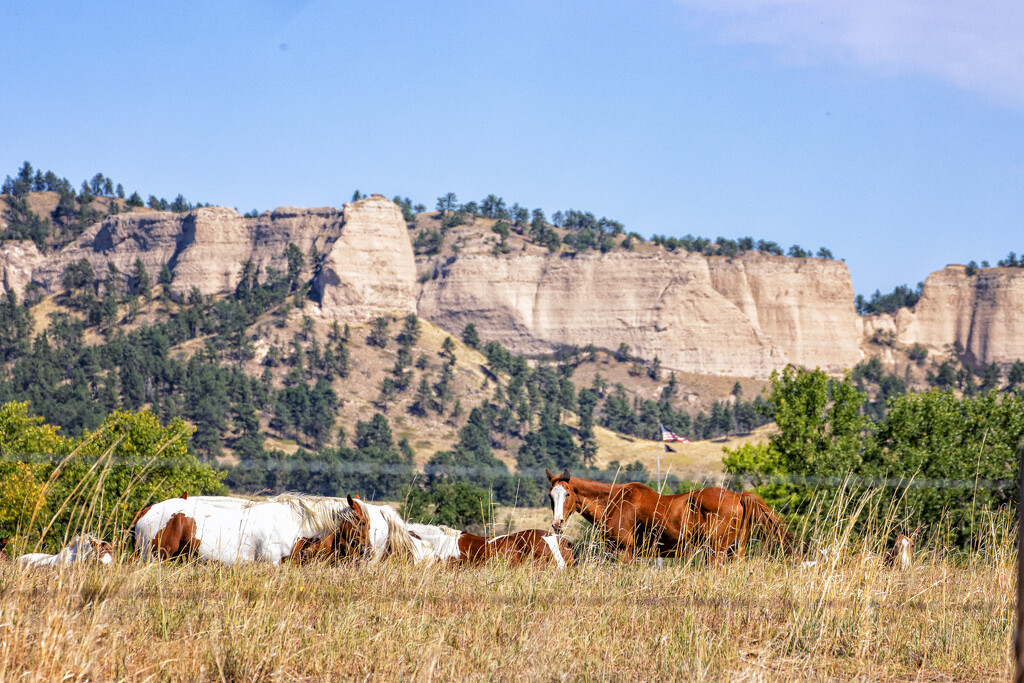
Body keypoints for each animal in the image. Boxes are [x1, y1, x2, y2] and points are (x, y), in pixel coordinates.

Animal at [548, 466, 794, 565]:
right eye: (551, 495)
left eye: (567, 494)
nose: (557, 523)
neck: (615, 501)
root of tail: (737, 496)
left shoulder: (625, 552)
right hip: (735, 551)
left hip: (717, 551)